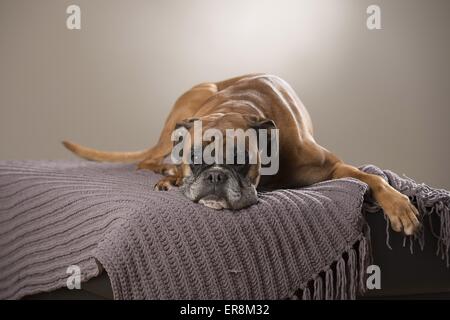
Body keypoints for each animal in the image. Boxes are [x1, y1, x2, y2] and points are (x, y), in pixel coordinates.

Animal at [64, 74, 422, 235]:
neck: (236, 106)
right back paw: (167, 178)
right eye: (197, 160)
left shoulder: (333, 167)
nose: (216, 175)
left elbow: (371, 177)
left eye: (240, 162)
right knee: (149, 161)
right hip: (189, 106)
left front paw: (399, 205)